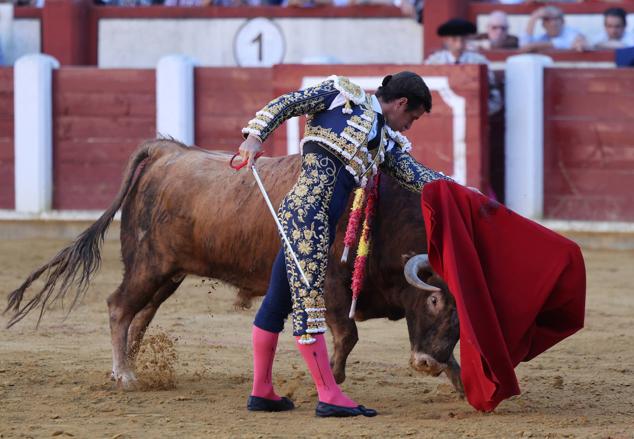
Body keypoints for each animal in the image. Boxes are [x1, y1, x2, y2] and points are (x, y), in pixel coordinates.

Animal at [3, 140, 460, 396]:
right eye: (434, 301)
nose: (426, 363)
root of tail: (168, 151)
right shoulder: (329, 288)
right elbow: (347, 336)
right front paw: (329, 381)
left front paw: (459, 381)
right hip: (148, 265)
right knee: (119, 307)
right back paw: (126, 376)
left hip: (166, 274)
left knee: (140, 315)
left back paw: (132, 370)